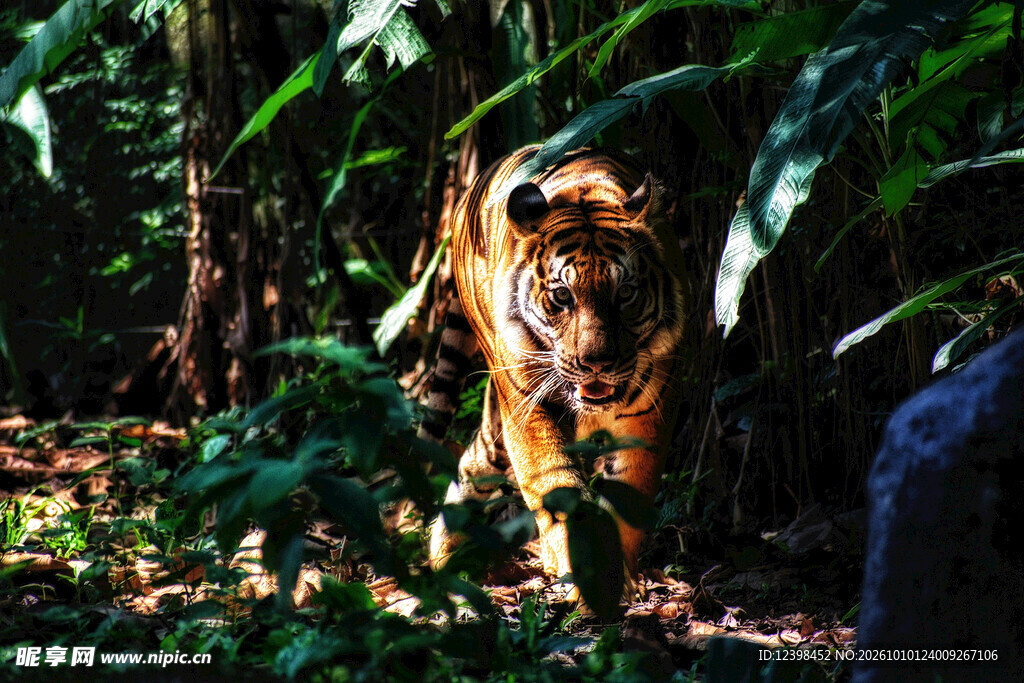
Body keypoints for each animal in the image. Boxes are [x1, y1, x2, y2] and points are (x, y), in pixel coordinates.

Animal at [419, 145, 687, 595]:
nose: (597, 363)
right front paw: (592, 578)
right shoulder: (528, 412)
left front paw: (618, 581)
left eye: (625, 293)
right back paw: (446, 559)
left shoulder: (649, 417)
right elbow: (558, 491)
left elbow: (629, 498)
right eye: (563, 296)